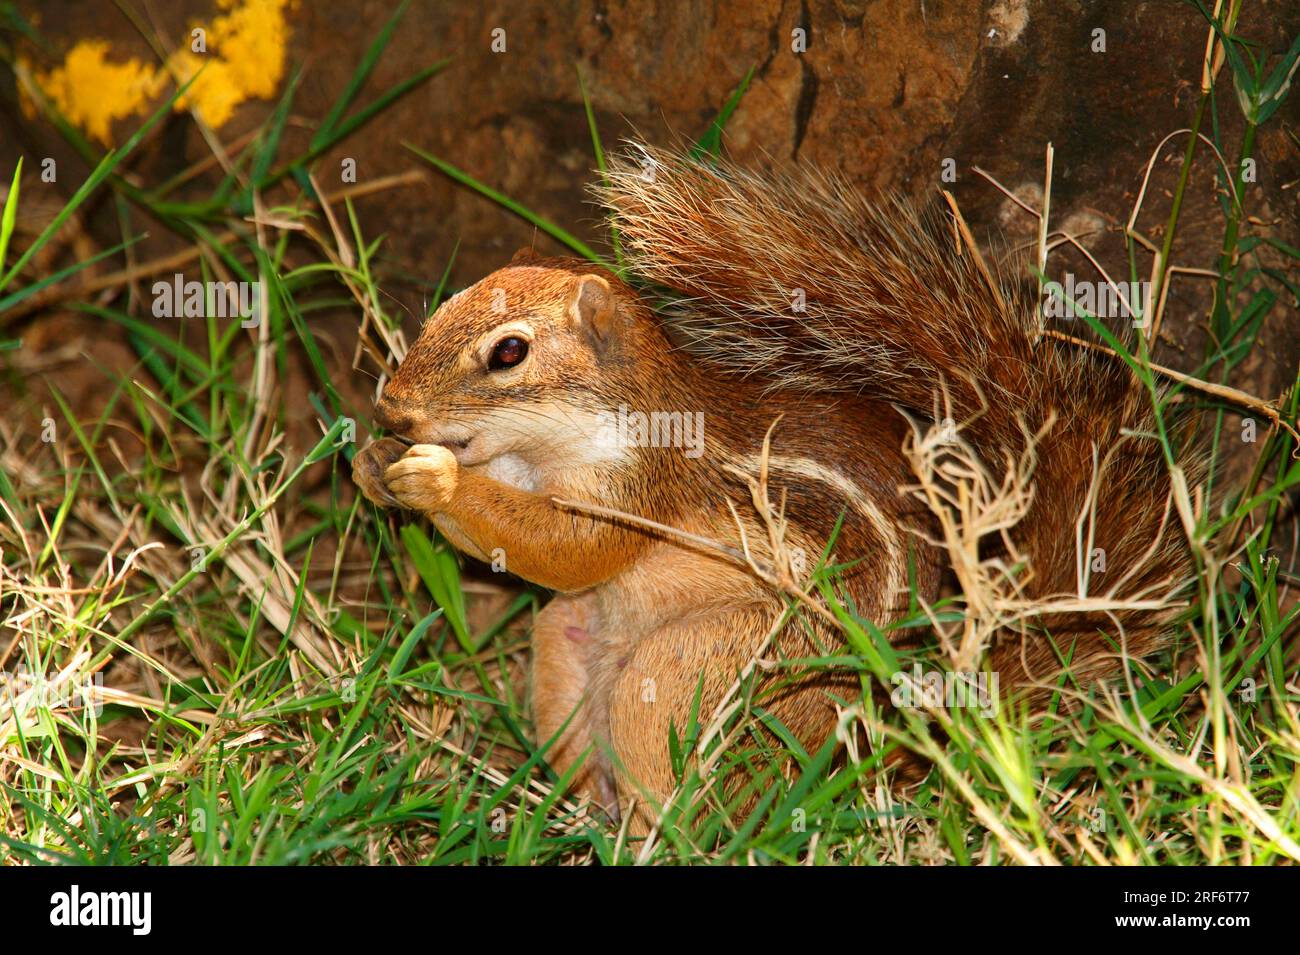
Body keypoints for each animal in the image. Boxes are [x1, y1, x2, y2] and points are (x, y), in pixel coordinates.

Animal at [352, 144, 1195, 832]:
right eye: (442, 307)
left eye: (509, 352)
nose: (392, 408)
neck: (543, 450)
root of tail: (863, 743)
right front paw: (374, 461)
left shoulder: (637, 484)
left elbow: (568, 546)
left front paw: (433, 477)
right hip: (567, 645)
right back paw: (581, 815)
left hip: (697, 669)